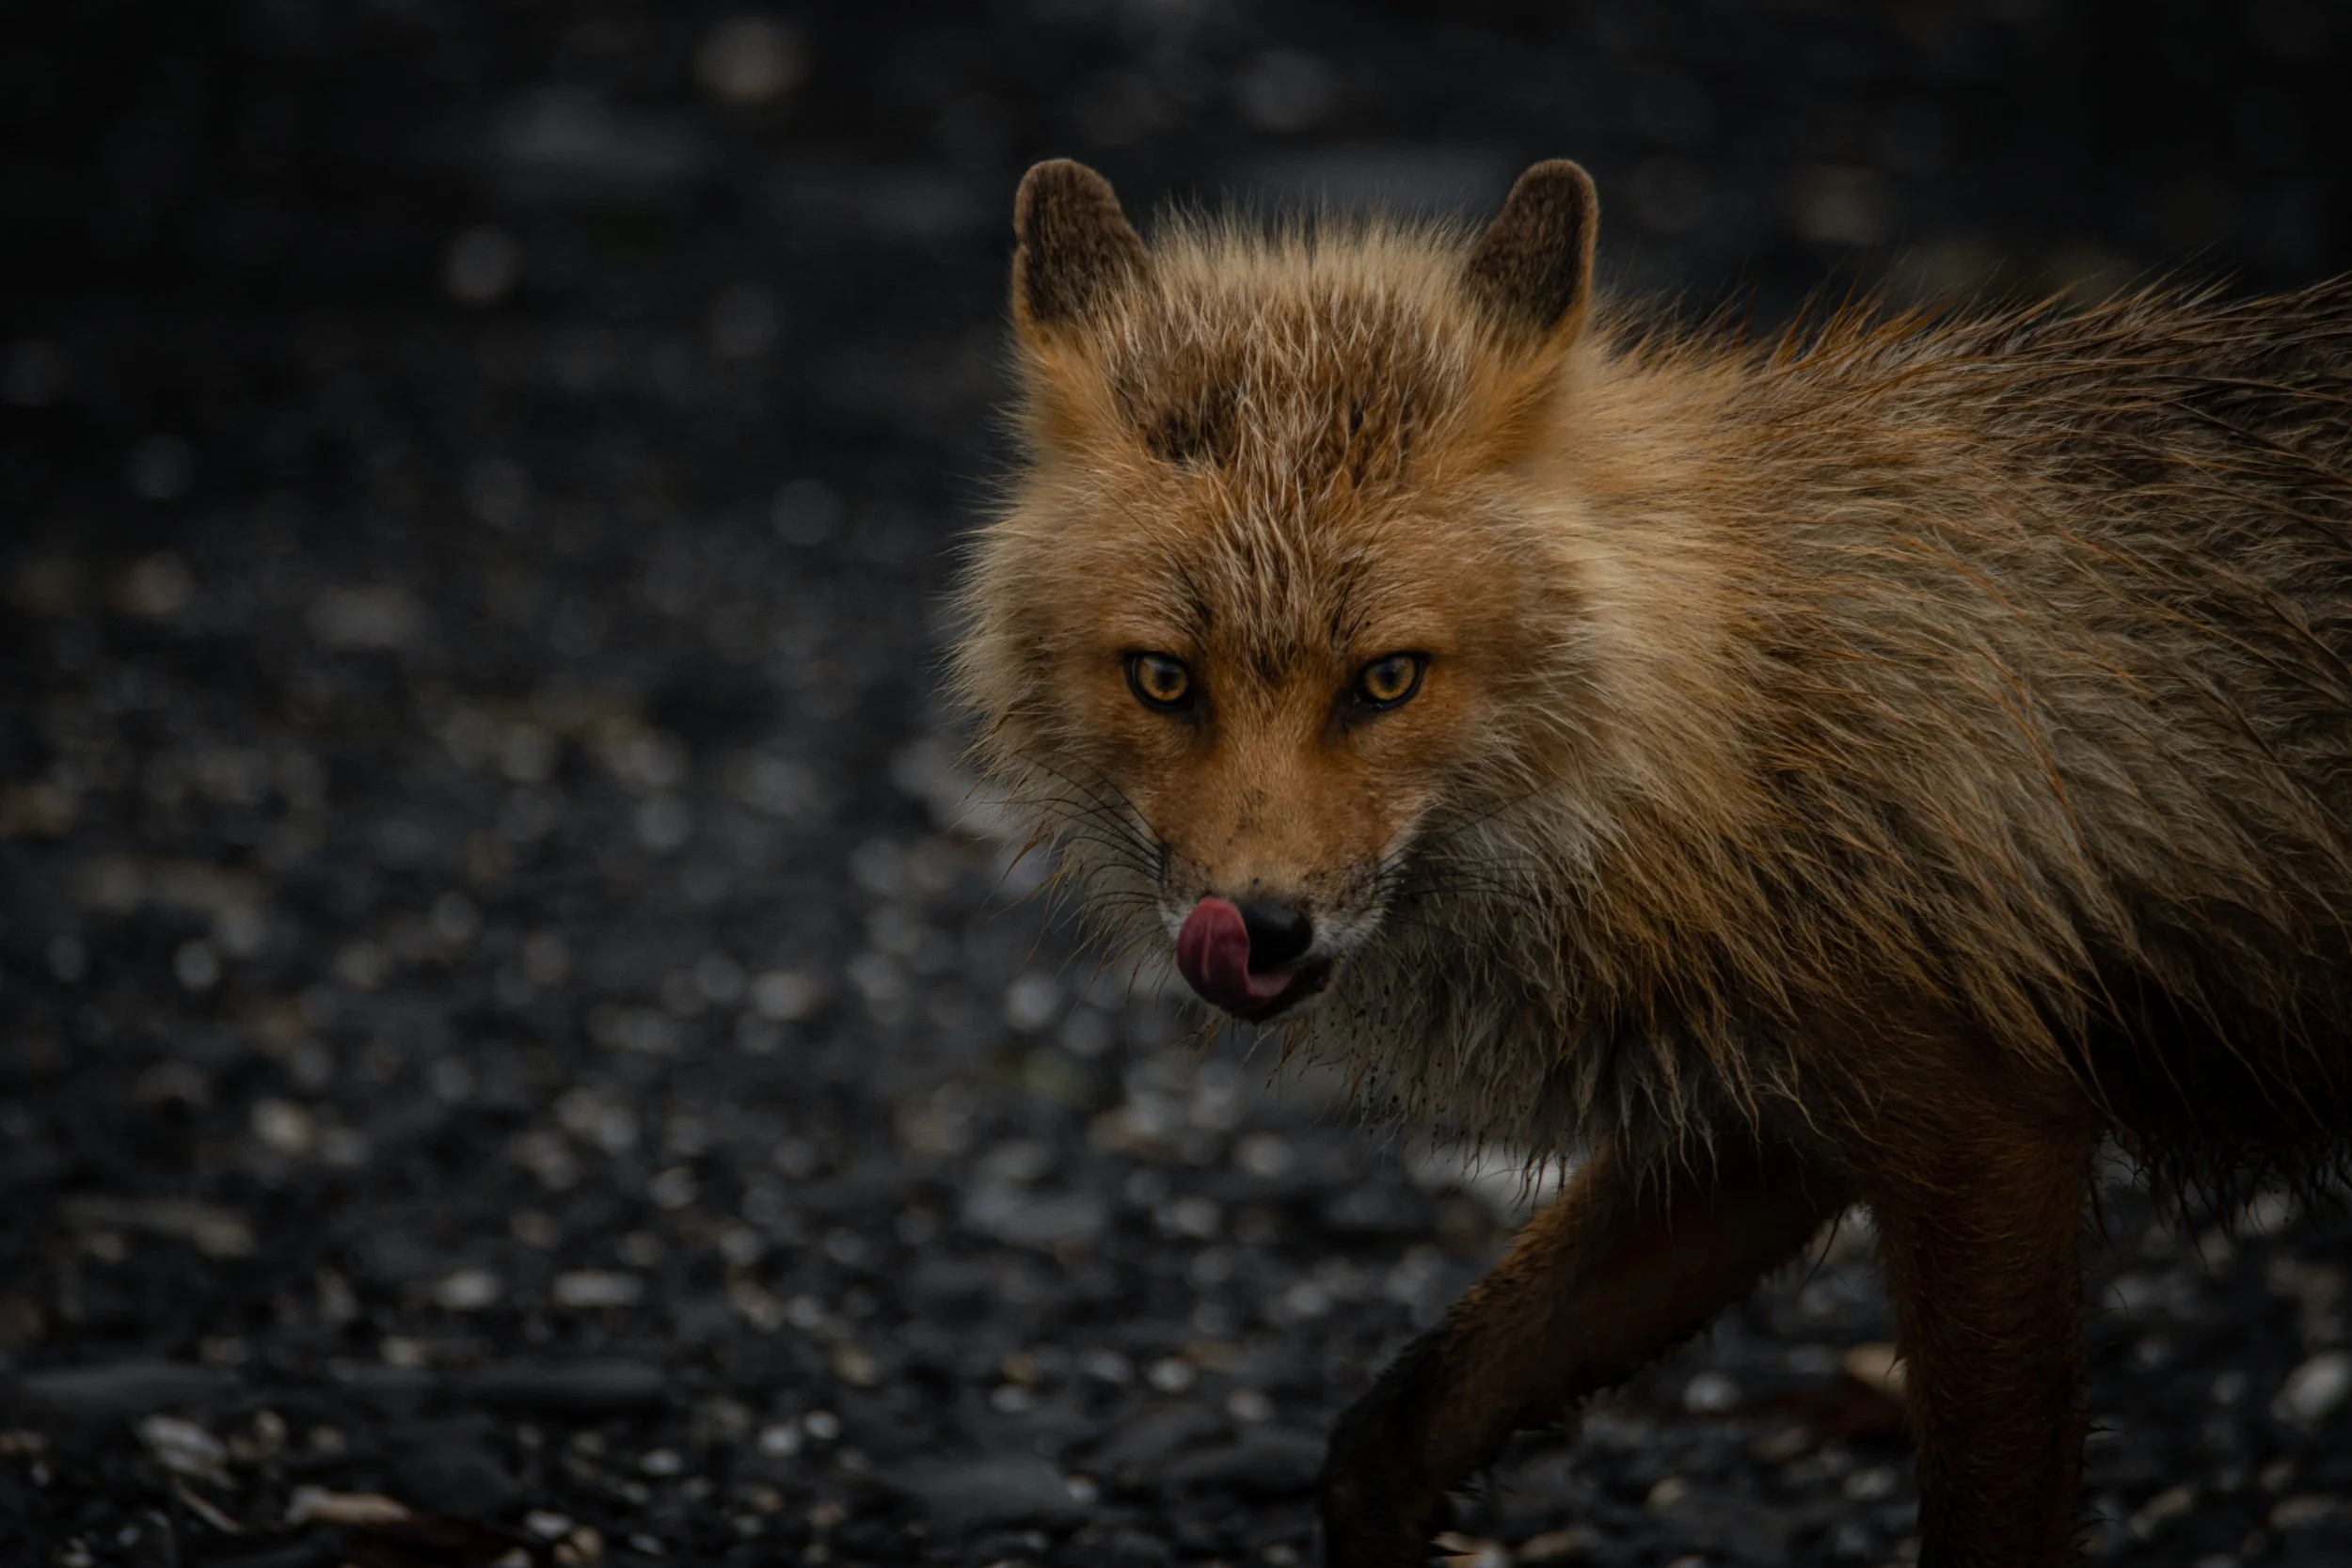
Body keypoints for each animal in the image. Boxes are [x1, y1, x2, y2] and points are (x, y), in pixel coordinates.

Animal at [950, 155, 2352, 1568]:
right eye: (1164, 678)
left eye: (1387, 679)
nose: (1259, 926)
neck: (1721, 732)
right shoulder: (1753, 1135)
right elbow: (1397, 1428)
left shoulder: (1983, 1123)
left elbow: (1988, 1514)